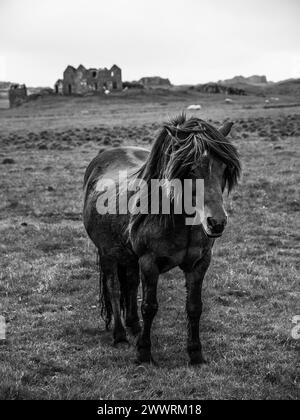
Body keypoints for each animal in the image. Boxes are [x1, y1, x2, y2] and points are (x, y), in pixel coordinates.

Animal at [82, 115, 241, 364]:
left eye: (224, 167)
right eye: (190, 168)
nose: (216, 222)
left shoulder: (200, 263)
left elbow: (194, 306)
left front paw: (196, 353)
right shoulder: (149, 262)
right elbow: (149, 306)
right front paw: (144, 352)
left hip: (129, 257)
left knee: (130, 284)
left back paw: (134, 328)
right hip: (108, 253)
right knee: (114, 288)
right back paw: (120, 335)